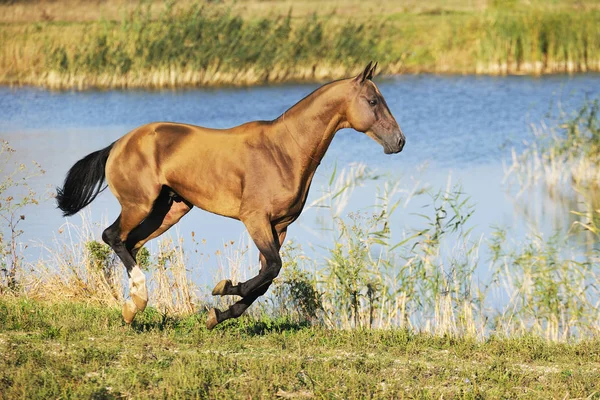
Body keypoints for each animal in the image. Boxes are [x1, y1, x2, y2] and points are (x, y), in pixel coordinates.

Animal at [56, 62, 406, 330]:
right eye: (373, 102)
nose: (399, 142)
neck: (283, 151)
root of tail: (117, 144)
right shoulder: (256, 220)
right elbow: (270, 270)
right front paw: (225, 288)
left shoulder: (279, 227)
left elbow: (267, 278)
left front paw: (218, 315)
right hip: (138, 205)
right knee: (112, 236)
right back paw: (138, 301)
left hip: (167, 211)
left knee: (131, 244)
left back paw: (132, 309)